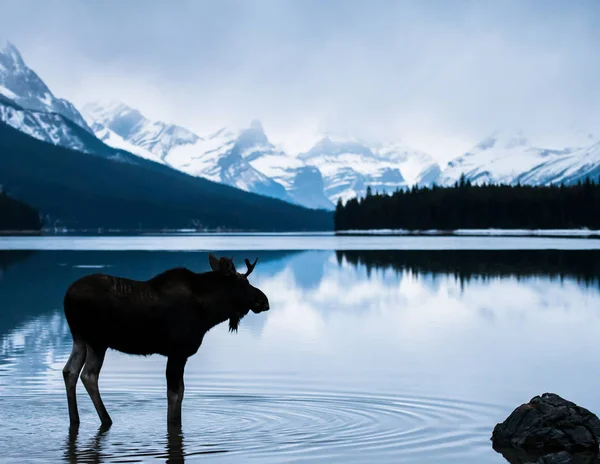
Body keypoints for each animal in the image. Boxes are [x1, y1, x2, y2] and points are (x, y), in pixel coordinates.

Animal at [60, 254, 270, 428]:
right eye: (243, 283)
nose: (264, 301)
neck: (209, 311)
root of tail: (66, 297)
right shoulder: (177, 352)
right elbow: (174, 394)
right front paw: (173, 423)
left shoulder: (181, 355)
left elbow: (181, 392)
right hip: (97, 341)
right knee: (88, 375)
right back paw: (106, 419)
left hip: (80, 339)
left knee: (69, 371)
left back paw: (75, 419)